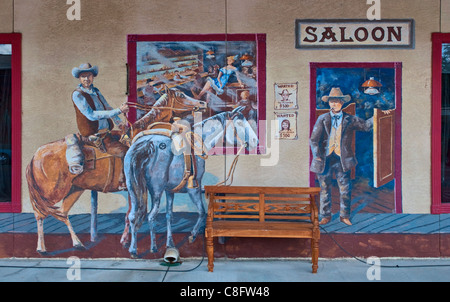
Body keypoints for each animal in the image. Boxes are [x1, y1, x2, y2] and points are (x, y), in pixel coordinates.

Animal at [26, 87, 206, 255]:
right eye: (181, 95)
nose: (202, 103)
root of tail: (34, 156)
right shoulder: (133, 187)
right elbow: (130, 214)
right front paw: (126, 241)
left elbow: (130, 214)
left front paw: (126, 240)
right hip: (52, 191)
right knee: (40, 213)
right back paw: (41, 247)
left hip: (74, 189)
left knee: (62, 213)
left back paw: (77, 243)